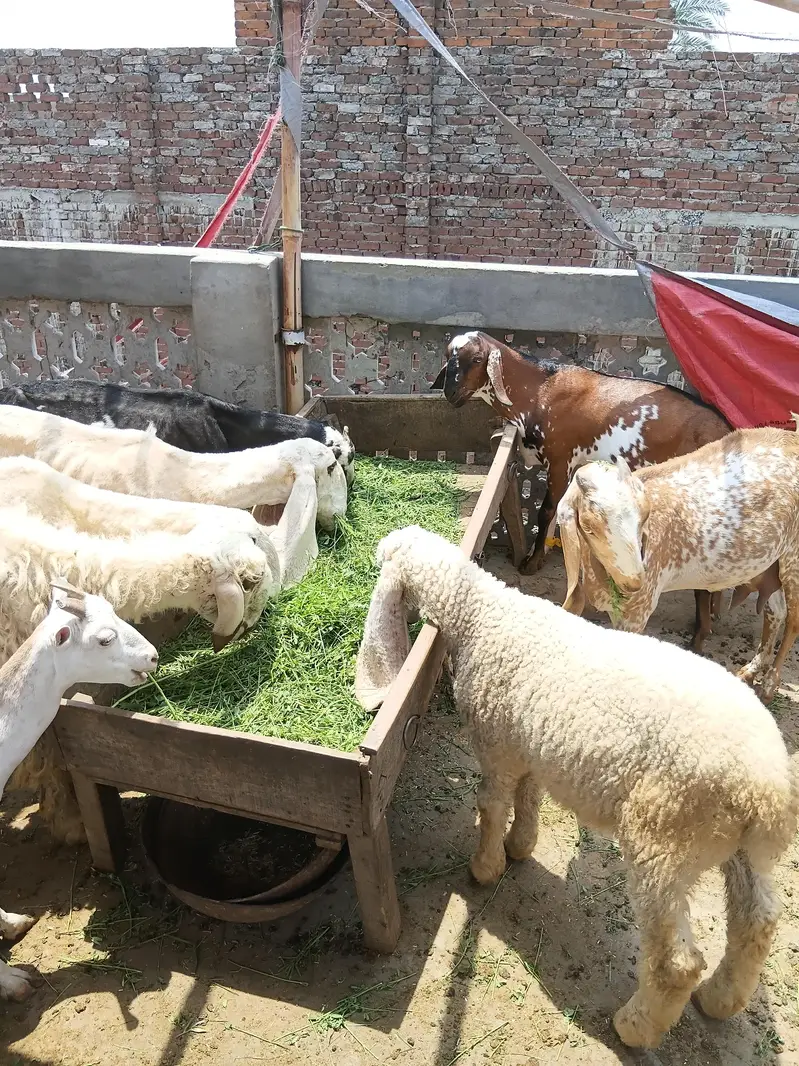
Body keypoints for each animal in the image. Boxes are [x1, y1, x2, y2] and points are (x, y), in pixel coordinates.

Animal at [355, 526, 797, 1049]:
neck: (482, 614)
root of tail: (766, 791)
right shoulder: (526, 745)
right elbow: (527, 799)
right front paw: (520, 847)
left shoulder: (495, 745)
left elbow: (492, 804)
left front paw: (485, 867)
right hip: (739, 850)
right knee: (758, 922)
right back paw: (720, 999)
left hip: (665, 839)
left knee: (676, 962)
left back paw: (635, 1027)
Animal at [556, 429, 799, 702]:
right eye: (588, 527)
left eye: (643, 519)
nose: (634, 582)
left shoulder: (638, 611)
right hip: (770, 564)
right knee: (775, 612)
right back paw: (751, 669)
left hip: (793, 557)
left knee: (793, 620)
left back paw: (769, 685)